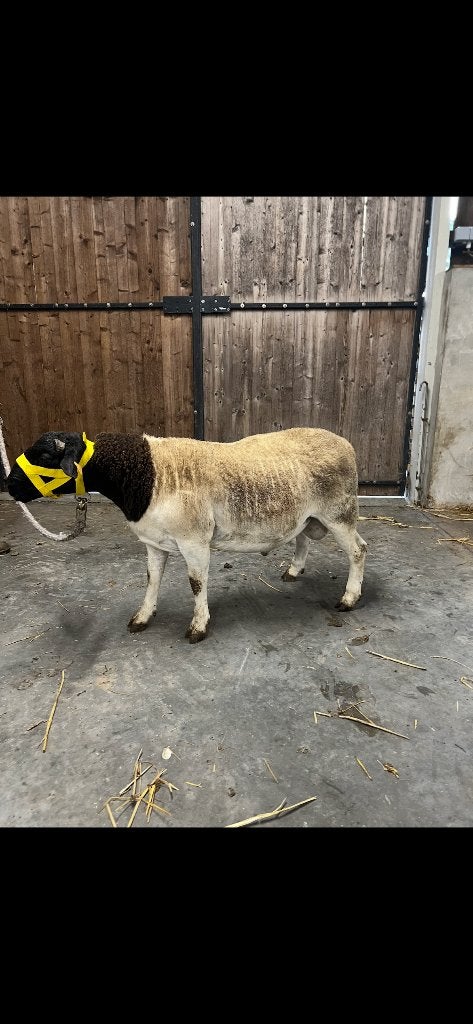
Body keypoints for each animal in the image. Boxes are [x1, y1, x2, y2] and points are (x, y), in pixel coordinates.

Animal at [7, 428, 367, 643]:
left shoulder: (194, 539)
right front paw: (142, 617)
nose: (8, 485)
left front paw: (198, 626)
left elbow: (196, 583)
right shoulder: (153, 541)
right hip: (308, 515)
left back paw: (349, 598)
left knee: (358, 551)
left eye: (44, 456)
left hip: (339, 512)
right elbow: (152, 578)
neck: (145, 473)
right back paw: (293, 571)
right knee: (302, 536)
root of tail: (345, 443)